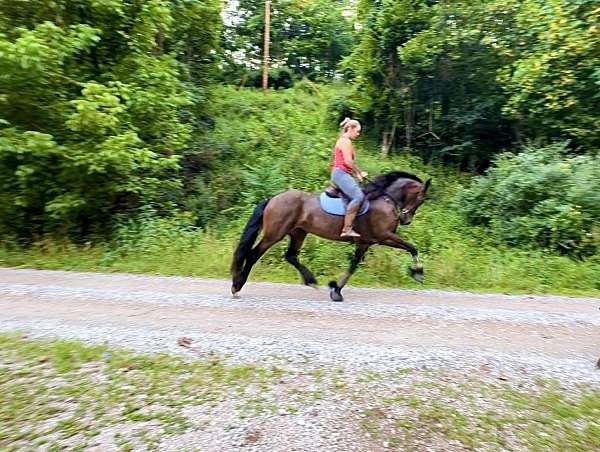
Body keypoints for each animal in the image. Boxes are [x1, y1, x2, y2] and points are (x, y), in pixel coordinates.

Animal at [230, 171, 432, 302]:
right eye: (420, 199)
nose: (406, 220)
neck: (385, 198)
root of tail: (272, 198)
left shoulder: (365, 242)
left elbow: (353, 266)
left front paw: (336, 290)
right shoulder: (384, 236)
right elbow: (412, 247)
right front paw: (418, 272)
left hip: (298, 232)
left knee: (291, 256)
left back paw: (311, 281)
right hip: (275, 233)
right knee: (253, 254)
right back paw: (237, 286)